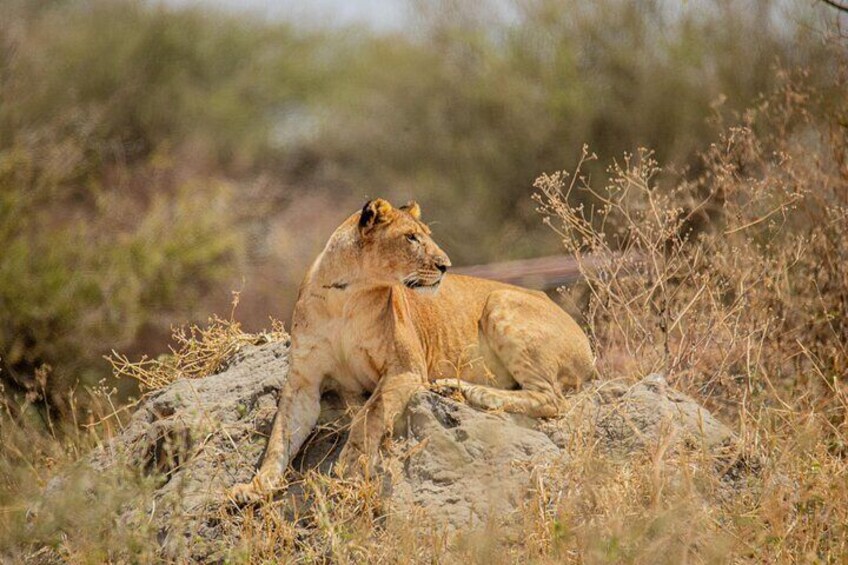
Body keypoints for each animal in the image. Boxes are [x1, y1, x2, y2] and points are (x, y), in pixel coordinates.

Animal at [230, 198, 596, 503]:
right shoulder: (303, 383)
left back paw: (475, 394)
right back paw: (452, 388)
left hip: (500, 299)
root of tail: (588, 349)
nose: (446, 265)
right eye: (411, 238)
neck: (347, 297)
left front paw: (348, 471)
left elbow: (370, 415)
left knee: (551, 399)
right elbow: (279, 438)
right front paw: (255, 487)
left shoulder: (407, 368)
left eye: (426, 236)